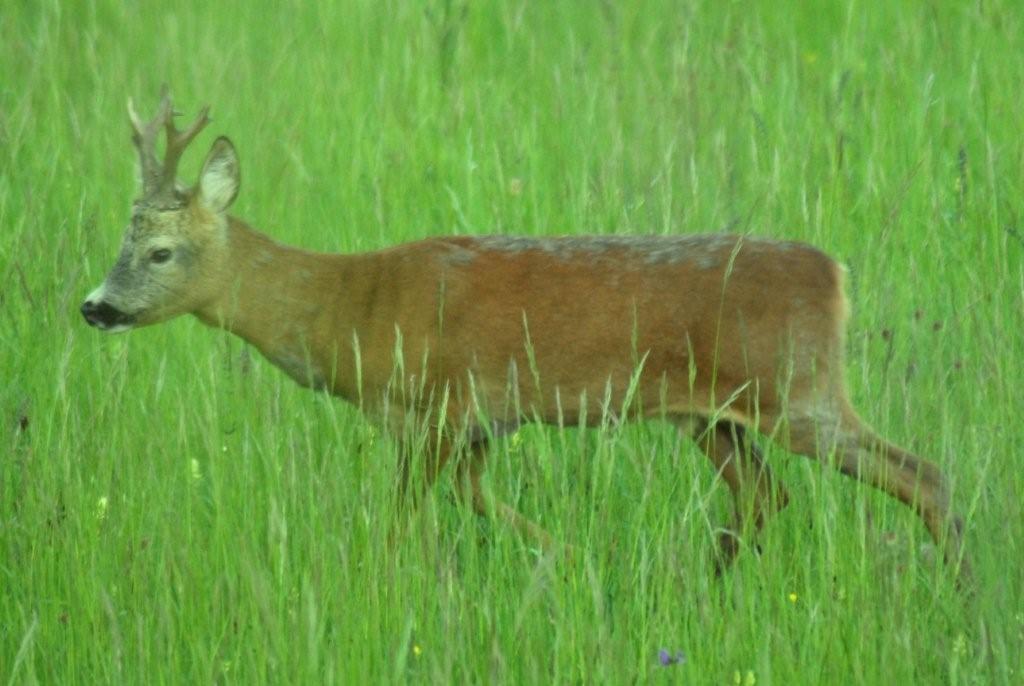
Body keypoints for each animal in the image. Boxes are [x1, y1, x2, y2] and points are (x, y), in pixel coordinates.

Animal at [79, 90, 966, 585]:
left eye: (160, 252)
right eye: (123, 241)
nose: (94, 306)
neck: (353, 309)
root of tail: (834, 273)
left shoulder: (440, 406)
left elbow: (401, 523)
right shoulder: (473, 427)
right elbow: (477, 503)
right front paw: (573, 564)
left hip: (797, 390)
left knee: (923, 476)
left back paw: (960, 595)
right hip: (712, 414)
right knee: (764, 496)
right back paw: (698, 589)